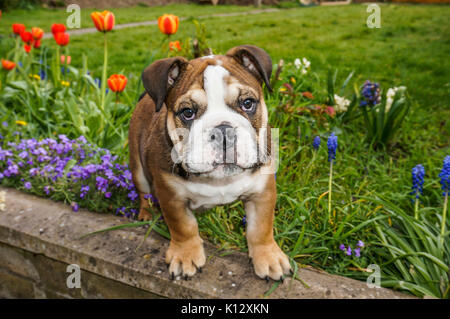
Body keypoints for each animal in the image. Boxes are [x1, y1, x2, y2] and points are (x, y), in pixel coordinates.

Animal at [130, 45, 292, 282]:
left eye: (247, 103)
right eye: (188, 112)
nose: (223, 131)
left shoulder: (262, 192)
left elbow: (260, 228)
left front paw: (269, 258)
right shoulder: (170, 195)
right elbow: (183, 227)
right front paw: (185, 256)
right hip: (138, 167)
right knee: (143, 193)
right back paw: (145, 214)